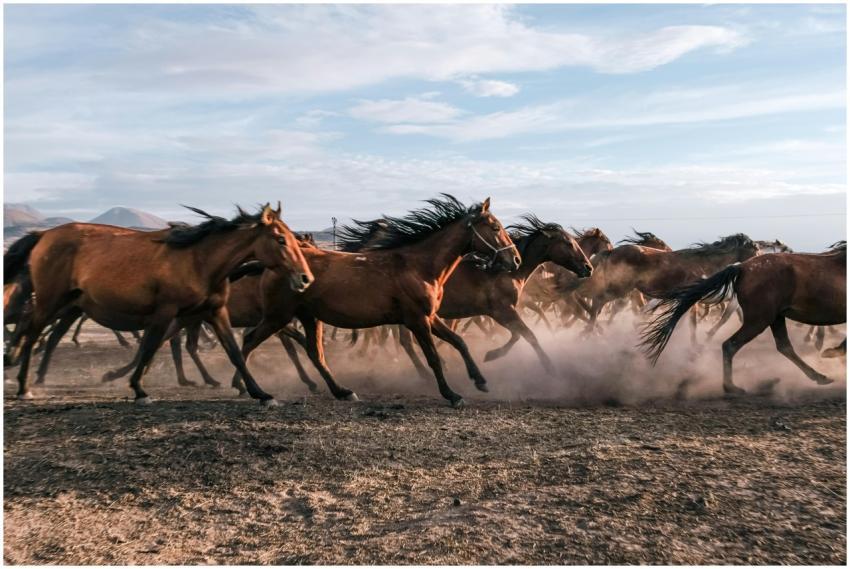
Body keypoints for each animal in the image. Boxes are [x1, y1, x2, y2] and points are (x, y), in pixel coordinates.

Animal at [5, 203, 313, 404]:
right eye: (281, 239)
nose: (305, 278)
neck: (201, 260)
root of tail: (43, 235)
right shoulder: (167, 311)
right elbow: (151, 345)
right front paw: (138, 389)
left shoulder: (213, 312)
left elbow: (235, 351)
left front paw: (260, 393)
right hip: (51, 300)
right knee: (33, 332)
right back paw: (24, 384)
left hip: (69, 304)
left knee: (38, 331)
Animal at [235, 194, 520, 408]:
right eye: (495, 227)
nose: (515, 259)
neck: (419, 266)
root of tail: (270, 265)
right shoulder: (417, 320)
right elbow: (433, 357)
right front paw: (452, 395)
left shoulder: (429, 316)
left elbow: (459, 342)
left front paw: (481, 380)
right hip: (278, 315)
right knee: (249, 341)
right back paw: (253, 391)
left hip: (308, 316)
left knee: (314, 353)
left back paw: (343, 391)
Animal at [641, 241, 846, 394]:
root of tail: (742, 267)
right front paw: (833, 351)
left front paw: (831, 351)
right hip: (759, 320)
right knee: (730, 345)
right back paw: (731, 387)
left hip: (774, 317)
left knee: (784, 346)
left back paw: (819, 376)